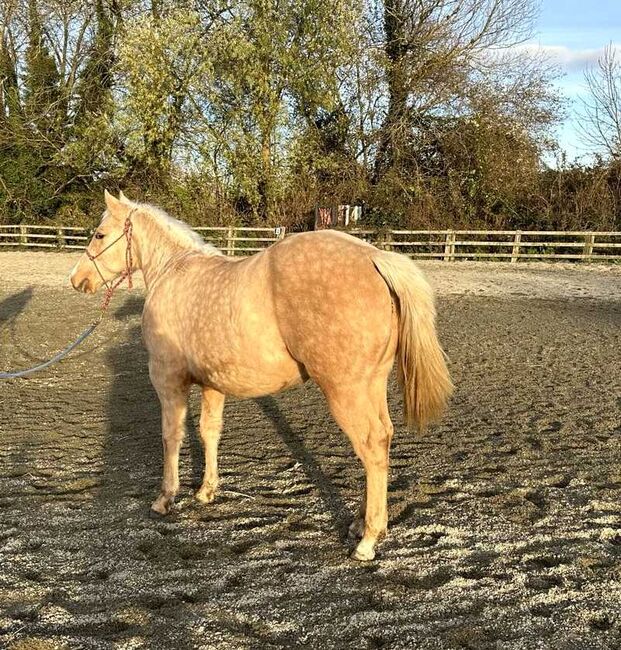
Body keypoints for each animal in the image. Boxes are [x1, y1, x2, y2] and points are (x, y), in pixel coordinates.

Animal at [71, 190, 450, 560]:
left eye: (99, 234)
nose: (77, 279)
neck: (174, 272)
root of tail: (374, 257)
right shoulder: (213, 385)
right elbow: (209, 432)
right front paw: (207, 491)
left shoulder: (168, 382)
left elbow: (171, 437)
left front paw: (165, 498)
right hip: (372, 385)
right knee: (383, 440)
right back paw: (364, 524)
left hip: (346, 390)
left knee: (370, 446)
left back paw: (367, 541)